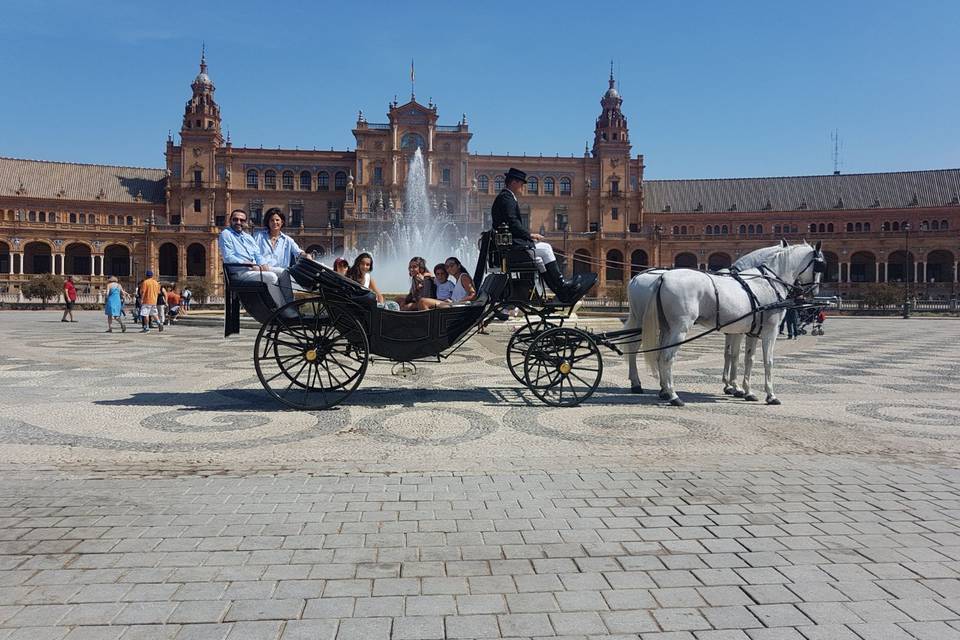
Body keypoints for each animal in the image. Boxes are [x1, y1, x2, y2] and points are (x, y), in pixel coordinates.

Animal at [640, 242, 820, 408]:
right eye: (820, 265)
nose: (813, 292)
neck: (768, 282)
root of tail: (663, 277)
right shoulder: (770, 332)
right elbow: (766, 361)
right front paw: (770, 395)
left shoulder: (749, 331)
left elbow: (746, 358)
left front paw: (746, 391)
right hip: (680, 329)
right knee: (667, 358)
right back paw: (673, 395)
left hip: (667, 328)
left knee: (659, 355)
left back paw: (665, 391)